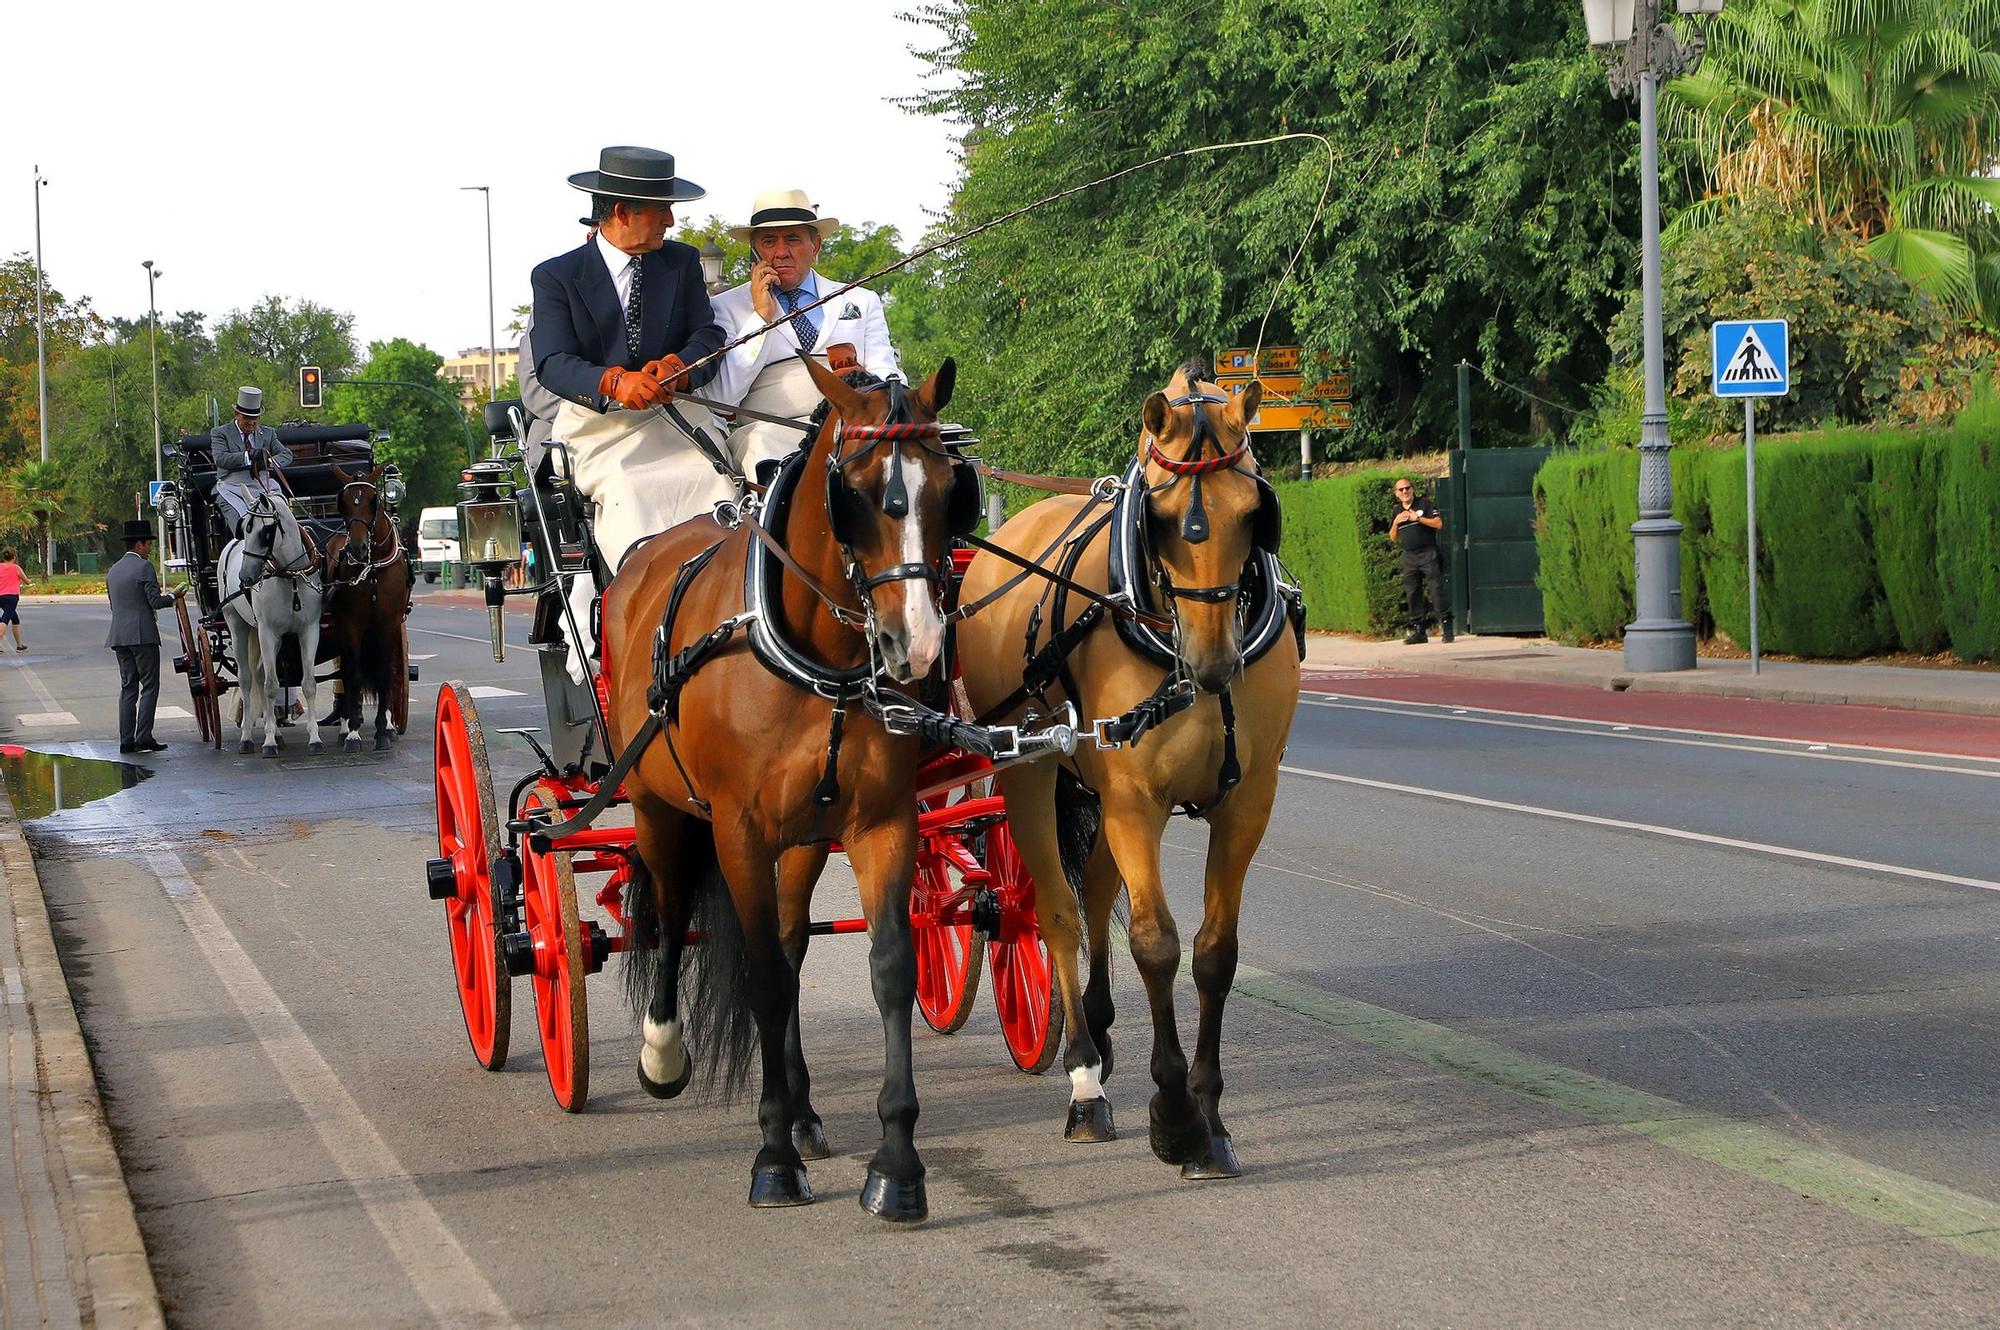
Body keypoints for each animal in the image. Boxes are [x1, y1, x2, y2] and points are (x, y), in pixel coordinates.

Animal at [220, 490, 326, 756]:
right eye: (244, 530)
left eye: (265, 531)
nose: (245, 578)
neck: (291, 576)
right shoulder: (268, 633)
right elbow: (271, 686)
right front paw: (267, 742)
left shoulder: (309, 630)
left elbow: (308, 683)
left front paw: (315, 738)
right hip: (238, 625)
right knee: (247, 679)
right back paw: (248, 737)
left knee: (259, 675)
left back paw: (276, 732)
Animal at [322, 460, 412, 748]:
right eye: (343, 503)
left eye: (374, 500)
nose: (358, 548)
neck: (372, 569)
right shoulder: (350, 624)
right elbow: (353, 675)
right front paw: (352, 730)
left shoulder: (389, 623)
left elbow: (385, 673)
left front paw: (383, 730)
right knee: (349, 671)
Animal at [596, 356, 980, 1224]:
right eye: (858, 492)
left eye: (950, 488)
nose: (918, 648)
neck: (822, 661)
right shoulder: (736, 829)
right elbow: (762, 977)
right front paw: (772, 1158)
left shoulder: (880, 823)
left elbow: (890, 969)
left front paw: (896, 1165)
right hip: (658, 807)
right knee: (668, 913)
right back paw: (665, 1054)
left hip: (806, 834)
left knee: (791, 936)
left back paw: (803, 1108)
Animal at [956, 358, 1304, 1176]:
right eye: (1165, 518)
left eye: (1254, 512)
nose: (1212, 665)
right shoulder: (1134, 798)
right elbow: (1156, 943)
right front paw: (1174, 1115)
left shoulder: (1248, 801)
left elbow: (1212, 954)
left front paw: (1211, 1118)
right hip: (1031, 773)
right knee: (1054, 911)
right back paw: (1085, 1077)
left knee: (1095, 892)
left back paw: (1104, 1033)